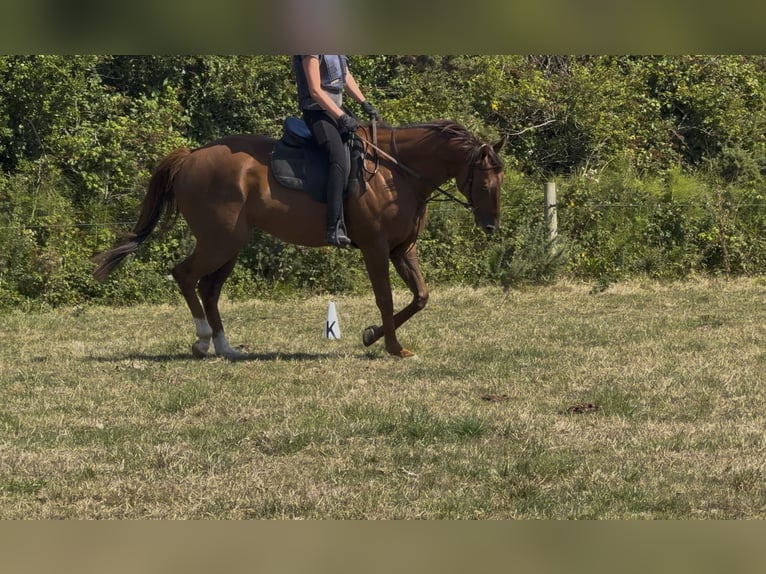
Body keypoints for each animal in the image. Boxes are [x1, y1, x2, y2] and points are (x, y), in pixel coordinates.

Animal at [93, 120, 505, 359]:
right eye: (486, 182)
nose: (491, 227)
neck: (396, 173)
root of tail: (190, 156)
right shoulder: (375, 248)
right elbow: (386, 298)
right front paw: (391, 347)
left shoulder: (403, 249)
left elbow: (420, 296)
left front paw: (371, 336)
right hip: (219, 240)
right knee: (185, 275)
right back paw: (201, 339)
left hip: (231, 243)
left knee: (209, 288)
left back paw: (226, 348)